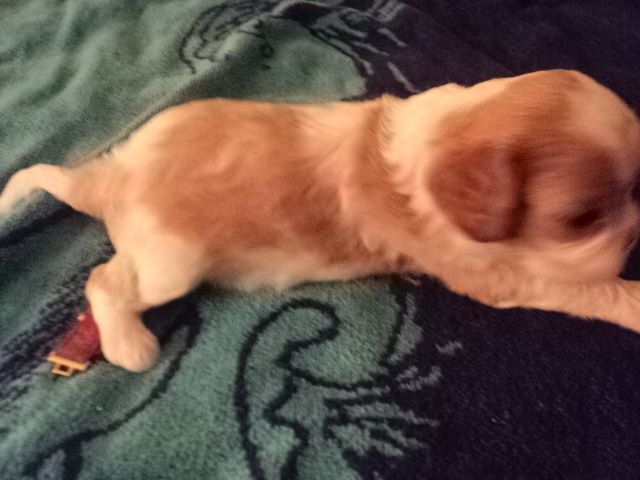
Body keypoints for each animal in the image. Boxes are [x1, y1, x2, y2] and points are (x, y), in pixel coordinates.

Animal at [1, 69, 640, 372]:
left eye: (636, 187)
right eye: (581, 219)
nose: (634, 239)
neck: (445, 139)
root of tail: (112, 178)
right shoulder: (492, 272)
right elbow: (586, 287)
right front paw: (630, 294)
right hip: (171, 263)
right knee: (104, 281)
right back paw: (129, 344)